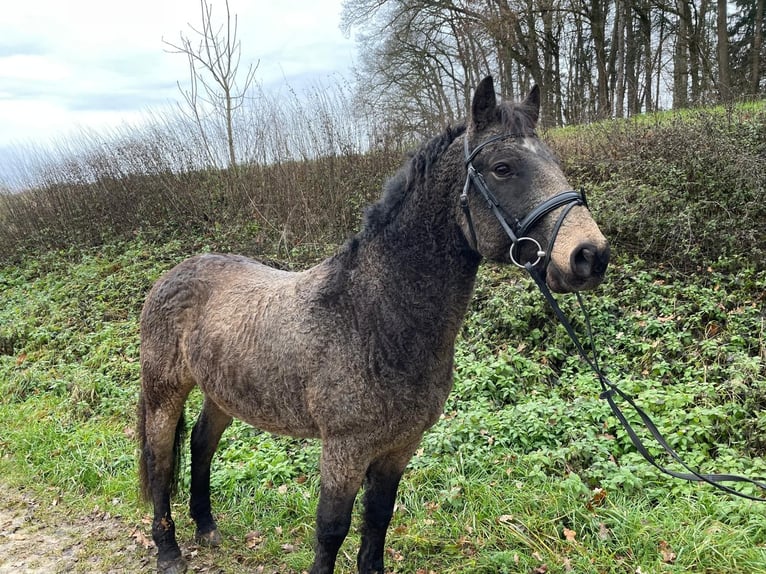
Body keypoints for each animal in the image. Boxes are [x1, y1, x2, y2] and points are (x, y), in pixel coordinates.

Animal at [138, 76, 612, 574]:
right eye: (503, 168)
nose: (590, 255)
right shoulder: (345, 449)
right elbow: (331, 529)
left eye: (553, 161)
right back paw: (168, 550)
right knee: (159, 462)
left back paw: (206, 527)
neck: (372, 316)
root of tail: (172, 275)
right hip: (163, 393)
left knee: (200, 444)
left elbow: (378, 520)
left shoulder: (399, 447)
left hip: (221, 394)